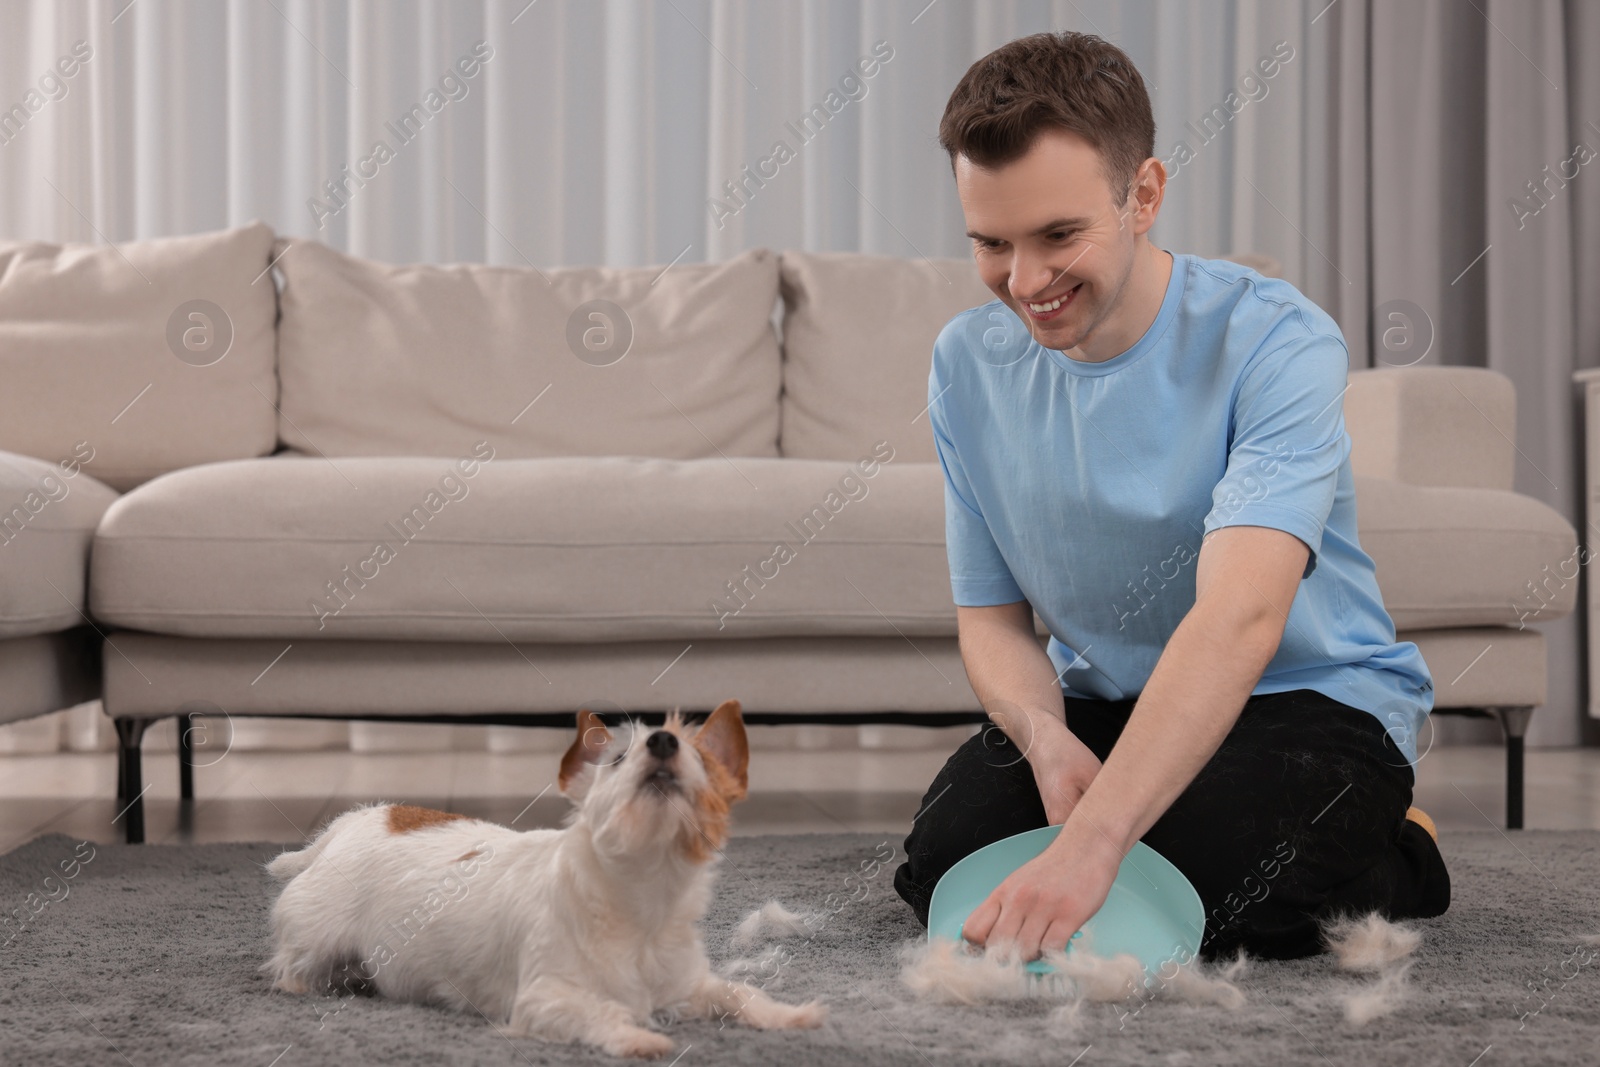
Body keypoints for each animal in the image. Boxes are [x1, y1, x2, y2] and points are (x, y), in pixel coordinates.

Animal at [262, 697, 825, 1055]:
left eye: (701, 760)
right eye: (618, 757)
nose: (665, 742)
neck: (640, 896)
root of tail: (352, 822)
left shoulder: (687, 984)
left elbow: (738, 993)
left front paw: (788, 1015)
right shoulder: (542, 1001)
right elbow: (600, 1013)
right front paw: (639, 1038)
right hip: (314, 939)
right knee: (292, 966)